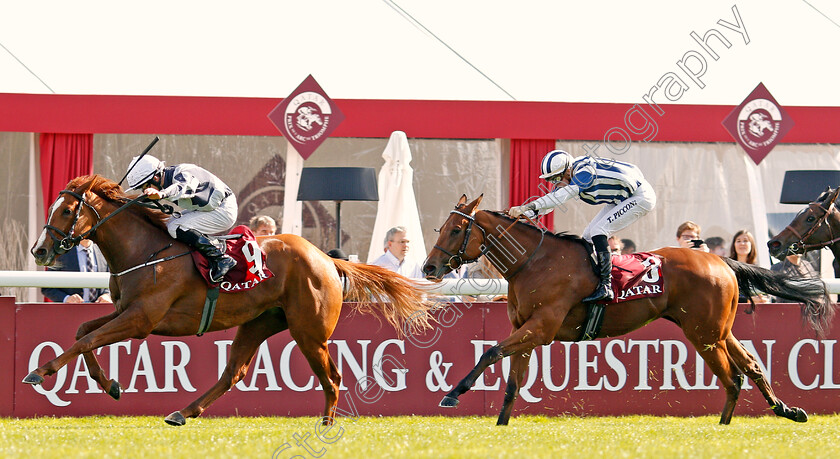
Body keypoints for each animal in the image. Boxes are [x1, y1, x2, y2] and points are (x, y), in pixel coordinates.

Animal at [26, 176, 434, 428]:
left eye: (66, 210)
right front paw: (109, 384)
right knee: (233, 371)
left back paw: (326, 424)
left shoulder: (142, 319)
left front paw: (40, 372)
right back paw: (183, 412)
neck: (145, 250)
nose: (40, 250)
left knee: (331, 378)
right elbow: (83, 331)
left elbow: (86, 339)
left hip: (309, 332)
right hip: (260, 322)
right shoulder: (125, 311)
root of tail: (326, 259)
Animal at [424, 195, 832, 428]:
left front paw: (453, 394)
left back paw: (726, 428)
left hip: (703, 335)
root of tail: (720, 260)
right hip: (719, 330)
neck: (533, 261)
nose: (429, 268)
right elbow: (511, 381)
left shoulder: (541, 328)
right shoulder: (526, 330)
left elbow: (490, 351)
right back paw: (786, 410)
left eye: (456, 229)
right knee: (751, 365)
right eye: (441, 226)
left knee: (732, 378)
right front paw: (501, 425)